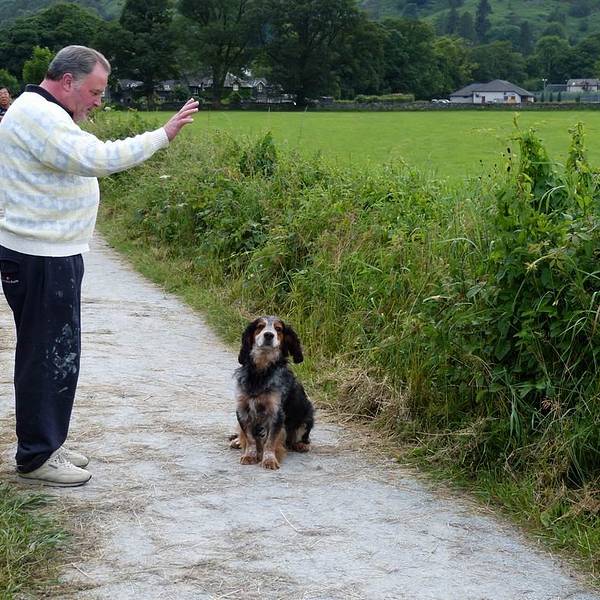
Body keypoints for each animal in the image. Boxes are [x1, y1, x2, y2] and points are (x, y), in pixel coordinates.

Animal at [230, 316, 314, 470]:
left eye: (278, 329)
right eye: (260, 326)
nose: (269, 335)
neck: (260, 373)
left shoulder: (276, 414)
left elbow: (270, 442)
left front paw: (269, 460)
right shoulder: (243, 410)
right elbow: (250, 438)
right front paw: (249, 455)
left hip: (306, 418)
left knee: (302, 438)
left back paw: (301, 445)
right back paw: (238, 441)